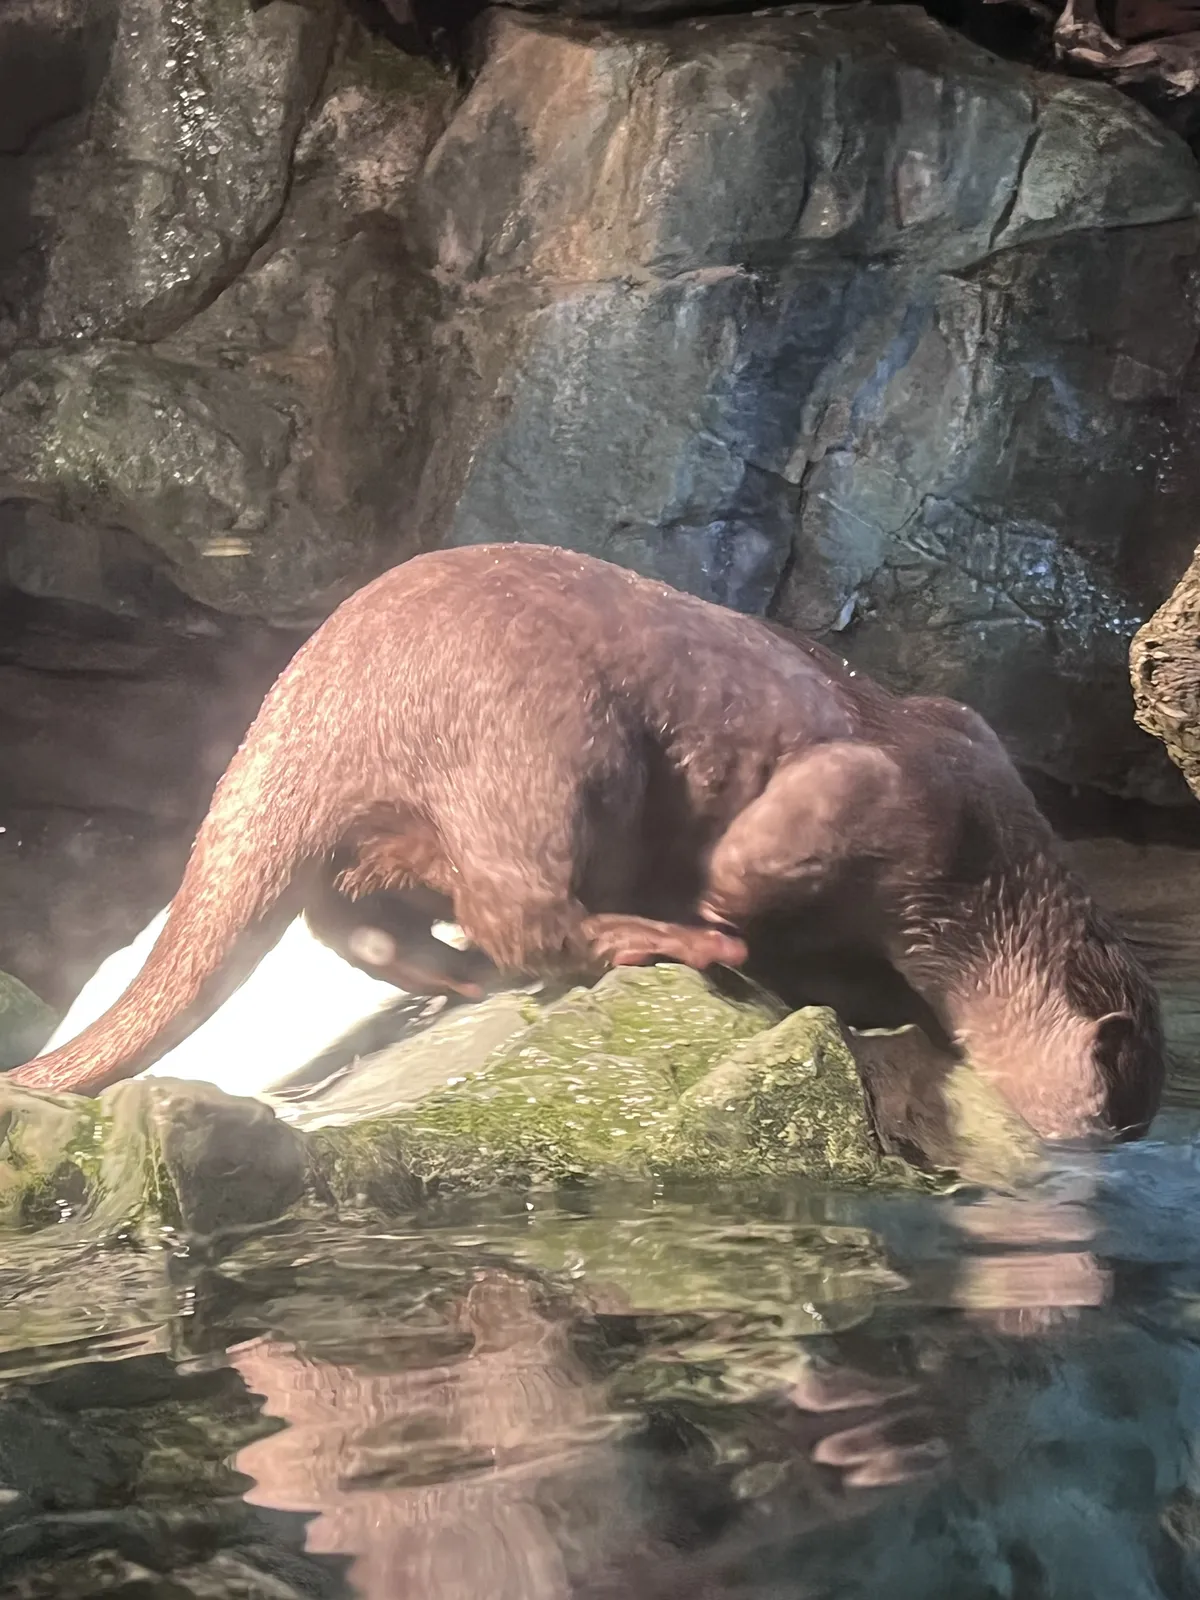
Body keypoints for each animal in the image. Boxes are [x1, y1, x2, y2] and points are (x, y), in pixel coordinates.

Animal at [9, 543, 1163, 1141]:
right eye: (1114, 1111)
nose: (1099, 1154)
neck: (990, 881)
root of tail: (313, 691)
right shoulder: (900, 798)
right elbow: (761, 854)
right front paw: (718, 920)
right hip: (551, 745)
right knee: (516, 908)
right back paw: (651, 939)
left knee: (354, 910)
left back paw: (446, 975)